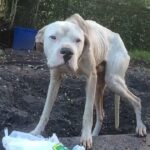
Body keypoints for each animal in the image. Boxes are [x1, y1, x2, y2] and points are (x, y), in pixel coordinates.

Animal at [31, 13, 147, 149]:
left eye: (78, 40)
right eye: (53, 37)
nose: (67, 52)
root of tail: (118, 37)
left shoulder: (91, 78)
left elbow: (88, 113)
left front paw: (85, 137)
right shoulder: (55, 79)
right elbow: (46, 109)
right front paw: (36, 132)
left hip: (113, 81)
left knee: (137, 100)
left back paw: (140, 128)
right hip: (99, 88)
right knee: (101, 114)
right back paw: (95, 134)